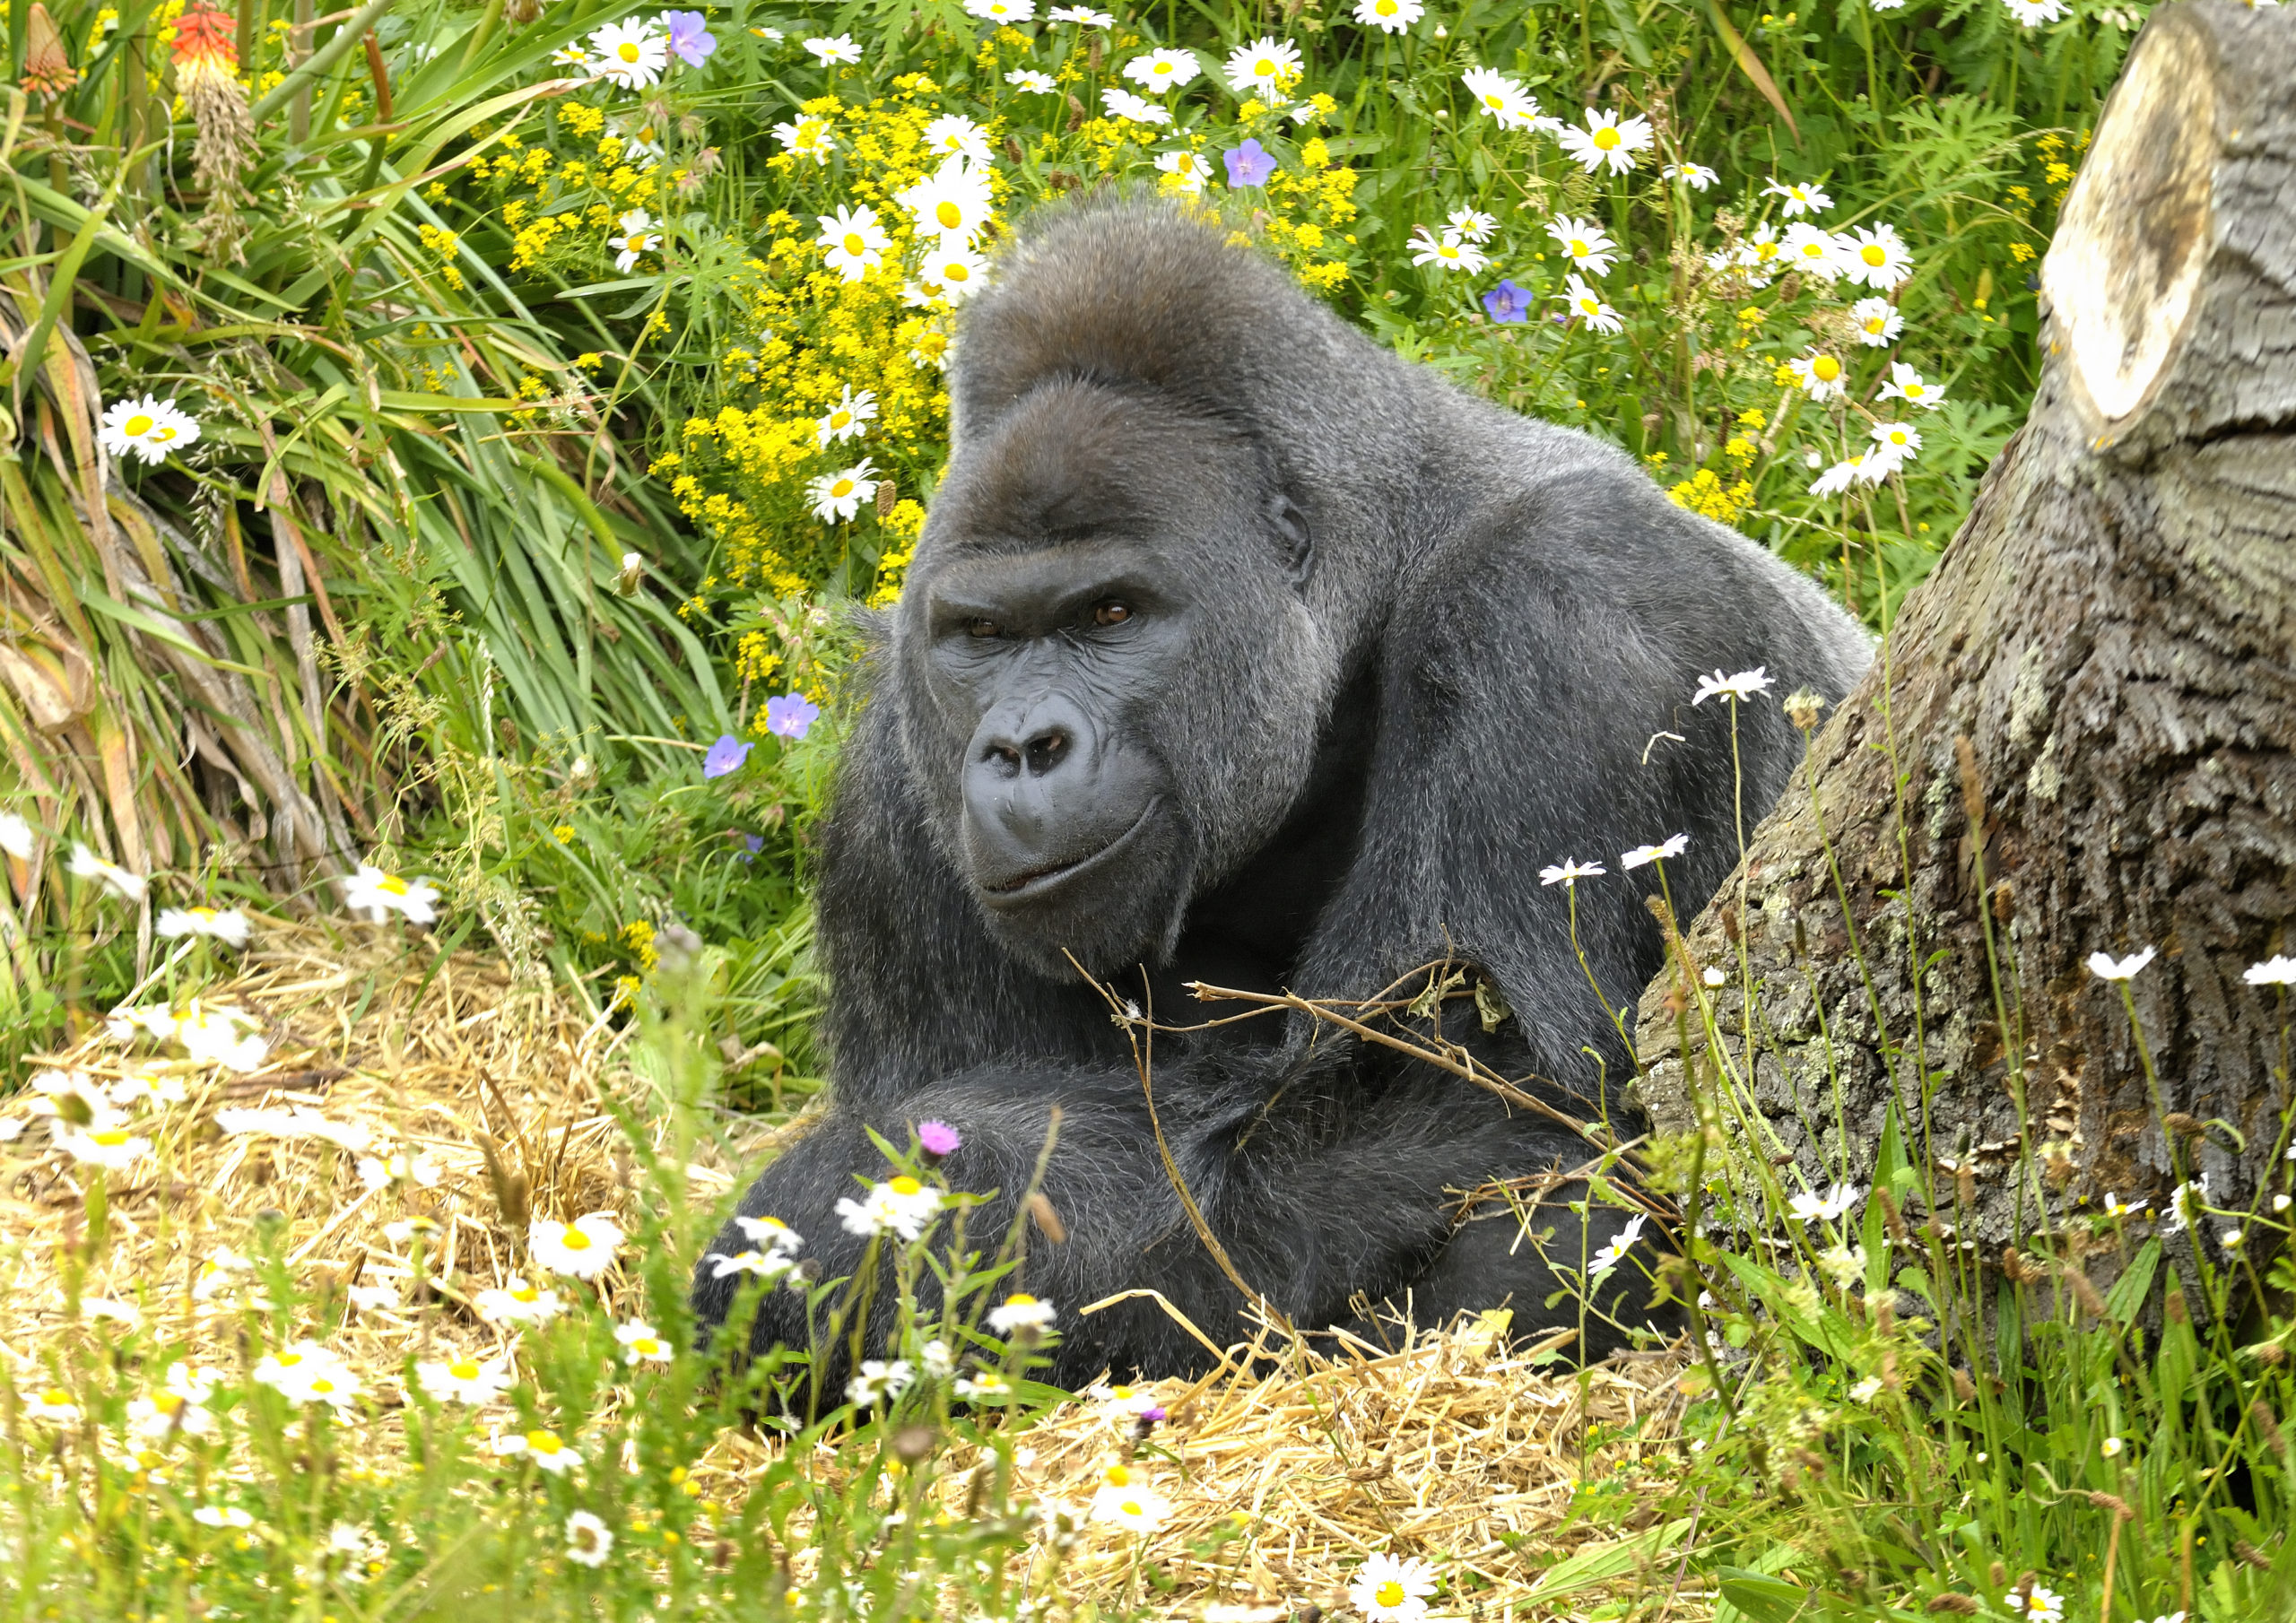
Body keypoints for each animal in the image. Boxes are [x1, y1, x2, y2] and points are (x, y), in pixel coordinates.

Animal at [693, 190, 1864, 1386]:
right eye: (981, 635)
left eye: (1109, 613)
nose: (1023, 745)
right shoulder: (898, 775)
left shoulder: (1566, 596)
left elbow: (1522, 1121)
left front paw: (824, 1225)